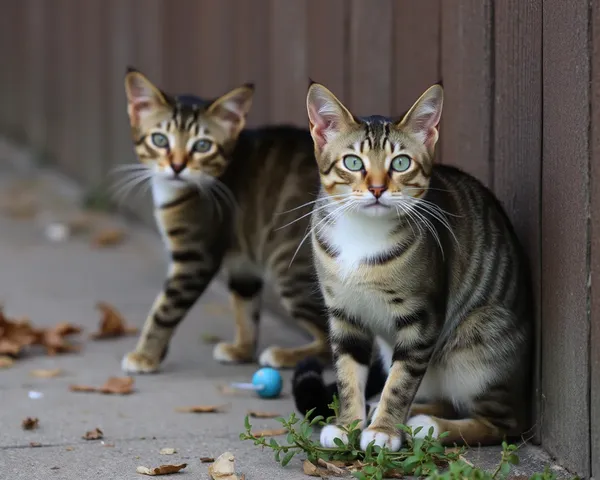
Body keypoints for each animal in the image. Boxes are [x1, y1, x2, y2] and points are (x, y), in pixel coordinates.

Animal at [119, 67, 330, 374]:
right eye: (160, 140)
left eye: (202, 146)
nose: (177, 166)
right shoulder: (244, 263)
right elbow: (245, 306)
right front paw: (242, 349)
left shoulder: (195, 258)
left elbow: (164, 309)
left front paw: (145, 356)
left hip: (291, 267)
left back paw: (288, 356)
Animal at [292, 81, 532, 450]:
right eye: (353, 162)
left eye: (401, 162)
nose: (377, 188)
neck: (362, 236)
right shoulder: (344, 313)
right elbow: (348, 373)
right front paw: (348, 425)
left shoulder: (422, 318)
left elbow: (401, 381)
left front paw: (383, 431)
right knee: (441, 398)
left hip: (477, 344)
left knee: (505, 422)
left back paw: (428, 426)